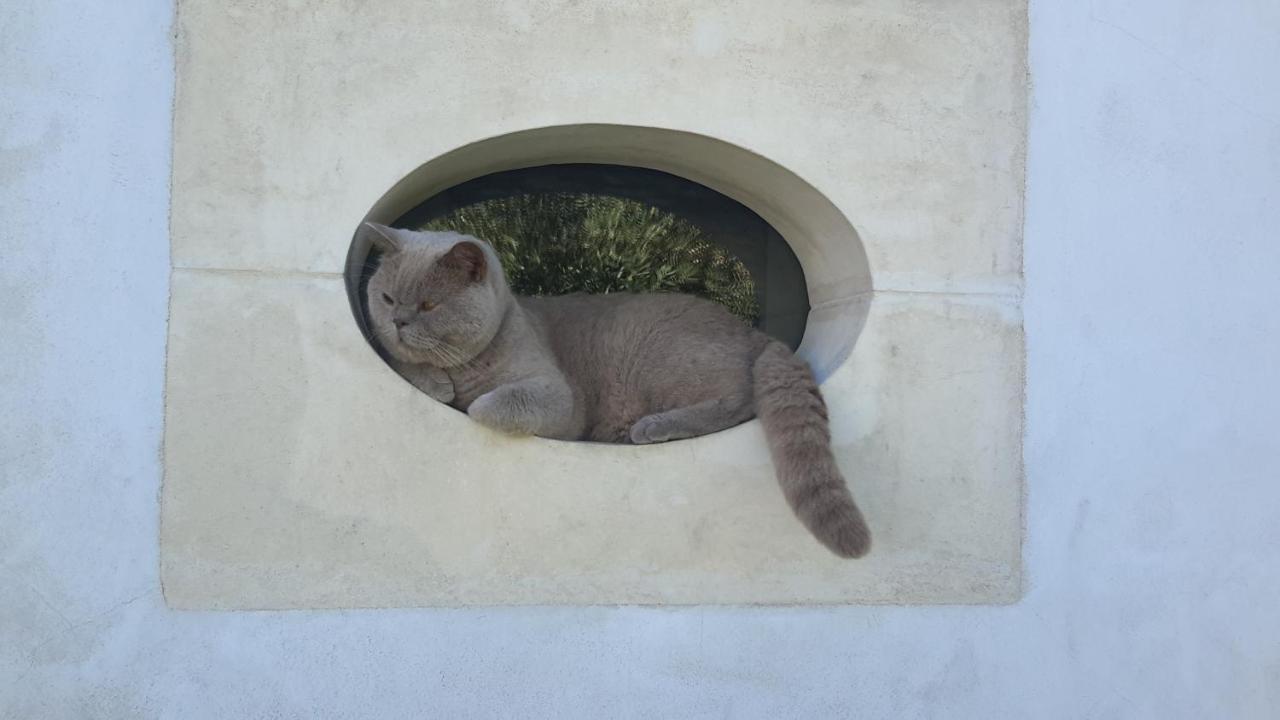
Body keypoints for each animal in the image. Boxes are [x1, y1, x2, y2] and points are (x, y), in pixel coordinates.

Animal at [366, 221, 875, 558]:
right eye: (387, 298)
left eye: (429, 305)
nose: (399, 321)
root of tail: (754, 333)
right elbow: (405, 365)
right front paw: (433, 382)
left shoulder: (557, 398)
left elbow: (489, 404)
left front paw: (464, 397)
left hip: (657, 351)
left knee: (737, 401)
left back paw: (650, 426)